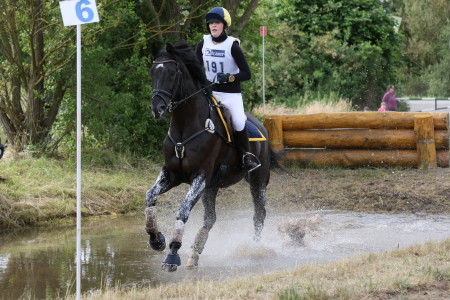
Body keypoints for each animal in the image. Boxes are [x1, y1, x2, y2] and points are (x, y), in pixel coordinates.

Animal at [145, 41, 274, 272]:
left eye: (171, 73)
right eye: (153, 72)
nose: (156, 109)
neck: (185, 126)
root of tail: (261, 125)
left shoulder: (201, 176)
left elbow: (183, 211)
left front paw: (172, 254)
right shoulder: (172, 174)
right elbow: (150, 196)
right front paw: (156, 239)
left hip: (257, 180)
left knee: (259, 214)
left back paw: (255, 248)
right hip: (212, 187)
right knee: (210, 219)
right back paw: (195, 253)